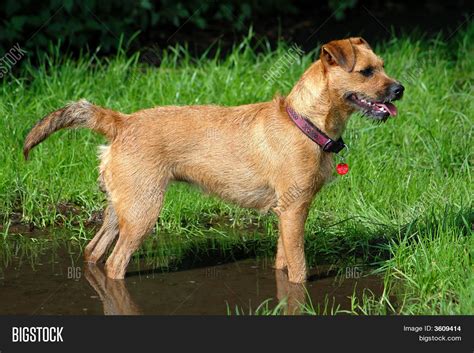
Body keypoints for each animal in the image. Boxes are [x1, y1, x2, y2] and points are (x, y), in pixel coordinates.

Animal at [23, 37, 404, 282]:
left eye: (383, 67)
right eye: (367, 72)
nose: (400, 89)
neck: (305, 122)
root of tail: (122, 122)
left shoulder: (287, 213)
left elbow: (283, 261)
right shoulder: (294, 210)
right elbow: (299, 269)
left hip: (122, 208)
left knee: (93, 252)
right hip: (144, 211)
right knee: (115, 264)